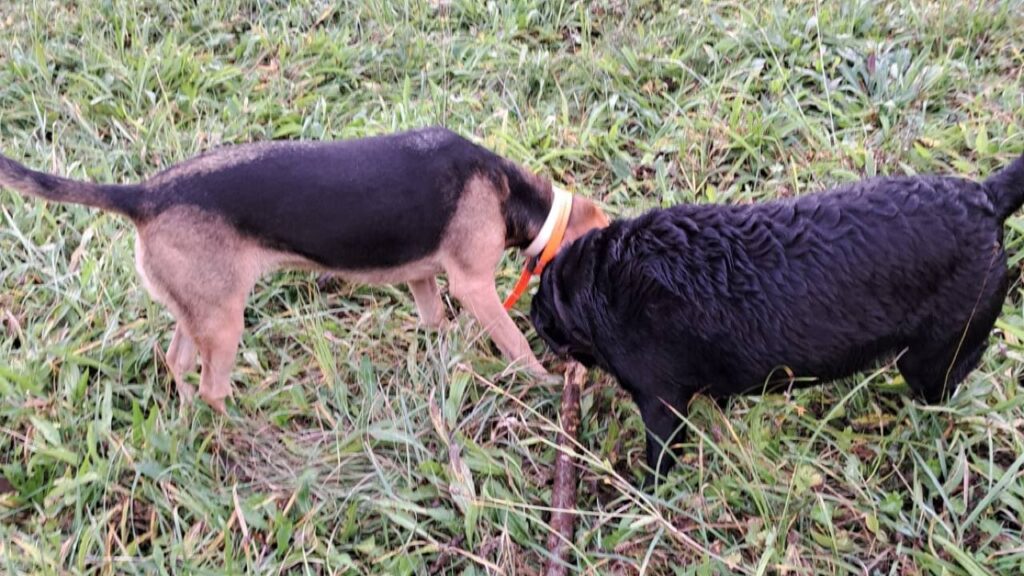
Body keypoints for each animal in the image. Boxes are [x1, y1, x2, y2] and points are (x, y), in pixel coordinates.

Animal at [0, 127, 606, 409]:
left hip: (198, 307)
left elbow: (433, 314)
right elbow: (515, 342)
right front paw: (541, 379)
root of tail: (145, 195)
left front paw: (446, 347)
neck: (513, 194)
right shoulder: (474, 284)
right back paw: (236, 420)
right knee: (213, 387)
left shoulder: (422, 275)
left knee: (177, 362)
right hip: (224, 322)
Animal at [532, 152, 1019, 475]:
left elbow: (661, 452)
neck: (603, 281)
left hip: (934, 354)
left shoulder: (660, 400)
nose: (534, 315)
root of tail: (987, 197)